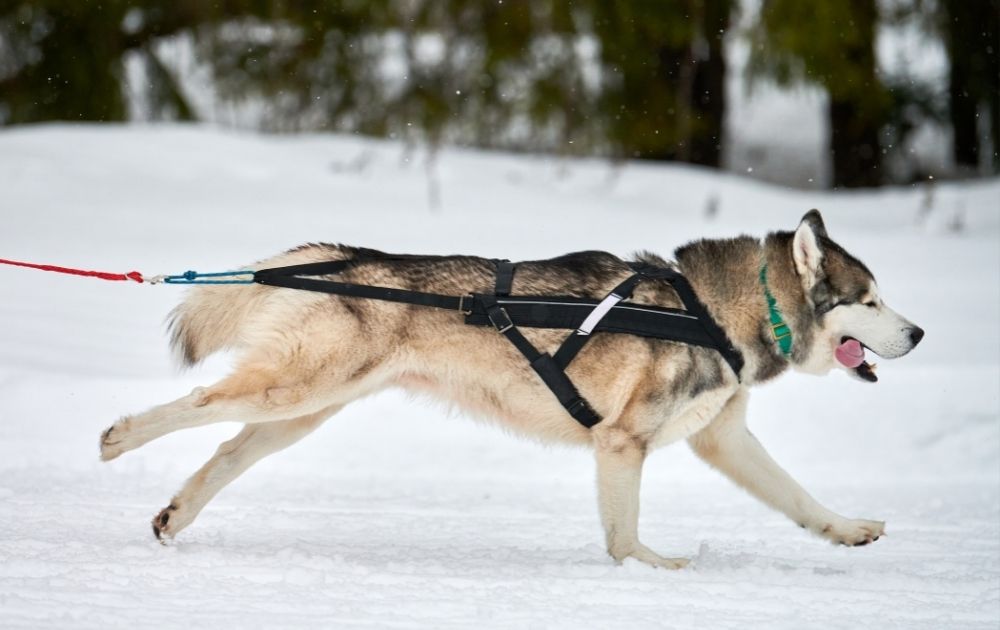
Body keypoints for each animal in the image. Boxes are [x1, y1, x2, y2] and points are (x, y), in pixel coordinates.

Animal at [99, 210, 920, 572]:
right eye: (869, 300)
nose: (916, 334)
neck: (714, 312)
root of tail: (342, 256)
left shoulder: (725, 438)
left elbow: (798, 497)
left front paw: (847, 530)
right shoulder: (622, 444)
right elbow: (624, 539)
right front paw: (652, 572)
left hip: (301, 412)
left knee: (225, 453)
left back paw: (174, 516)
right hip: (295, 390)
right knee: (198, 407)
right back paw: (117, 437)